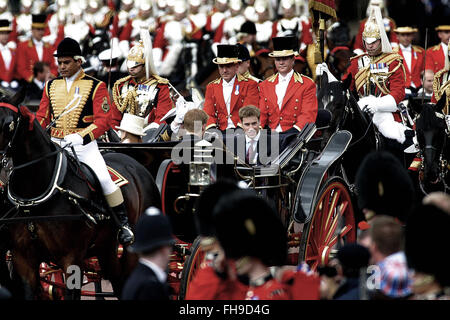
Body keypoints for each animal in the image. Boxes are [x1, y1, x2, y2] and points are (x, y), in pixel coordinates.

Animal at [0, 94, 160, 298]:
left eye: (8, 124)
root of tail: (136, 164)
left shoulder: (72, 259)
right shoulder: (23, 260)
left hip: (135, 248)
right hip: (106, 247)